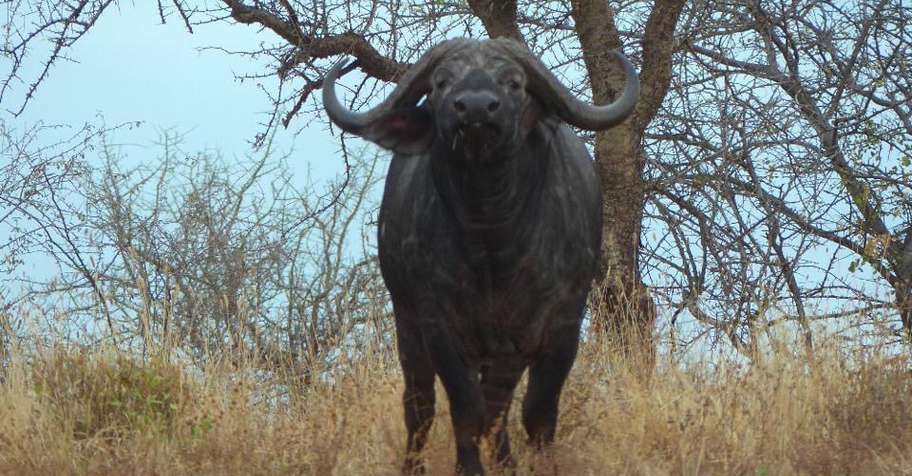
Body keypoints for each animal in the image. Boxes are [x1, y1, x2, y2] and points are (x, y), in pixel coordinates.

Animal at [322, 38, 639, 475]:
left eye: (514, 83)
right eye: (440, 82)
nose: (474, 107)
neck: (493, 240)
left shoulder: (561, 326)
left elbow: (536, 411)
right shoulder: (438, 326)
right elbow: (465, 408)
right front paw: (469, 468)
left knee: (498, 406)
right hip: (408, 323)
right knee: (421, 405)